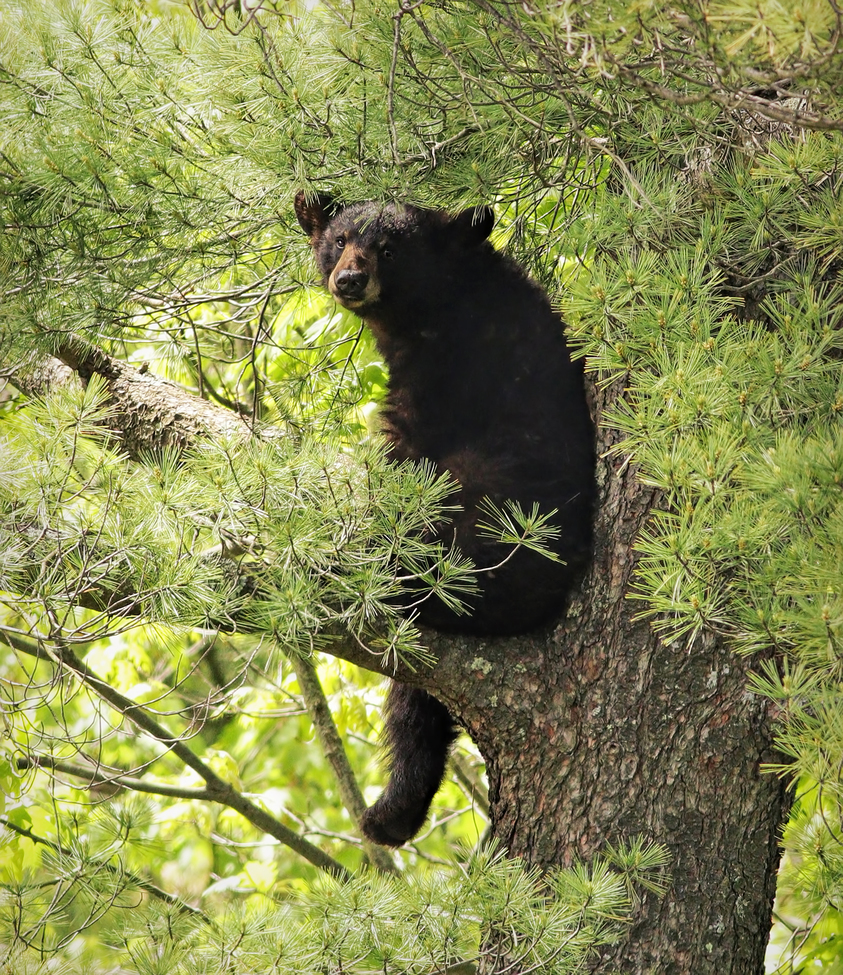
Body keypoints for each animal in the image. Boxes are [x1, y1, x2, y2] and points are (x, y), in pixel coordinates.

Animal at [295, 191, 595, 846]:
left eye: (389, 249)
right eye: (340, 239)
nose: (349, 279)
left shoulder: (448, 380)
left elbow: (405, 457)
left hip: (477, 526)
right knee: (417, 705)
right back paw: (394, 813)